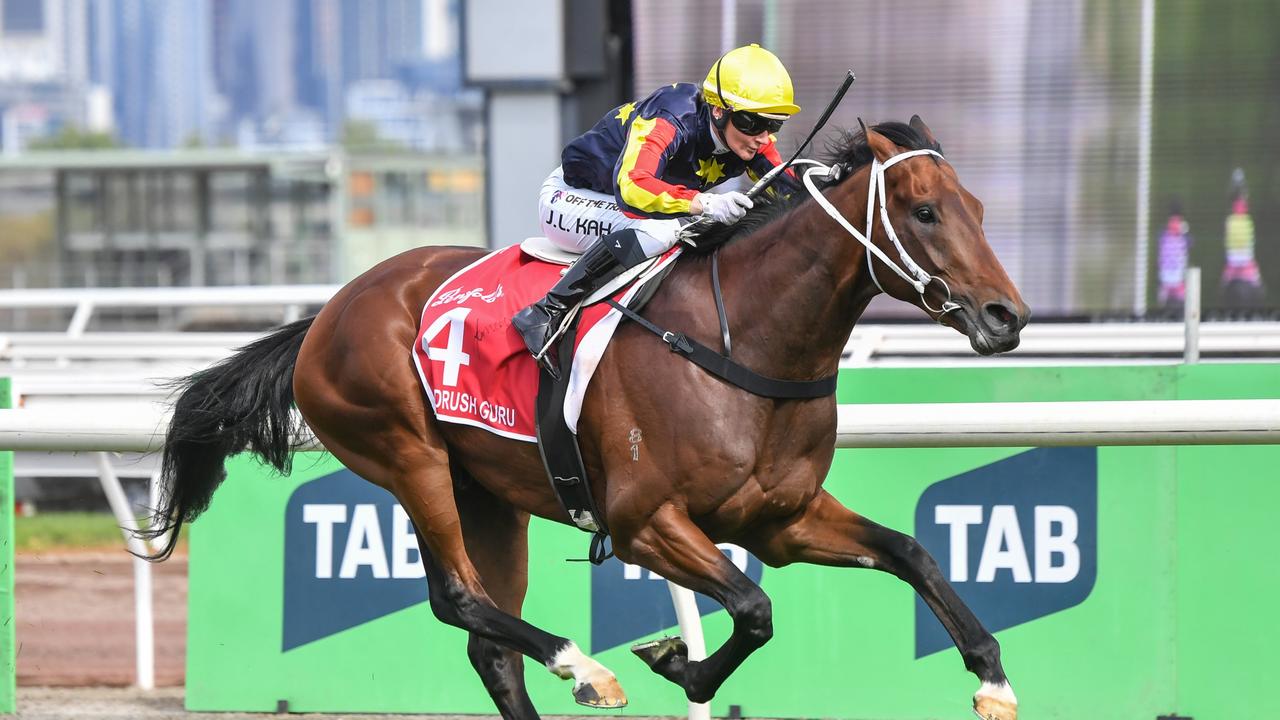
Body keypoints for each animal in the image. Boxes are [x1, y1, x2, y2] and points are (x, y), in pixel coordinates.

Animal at [147, 117, 1029, 717]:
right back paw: (585, 667)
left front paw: (992, 677)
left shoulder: (783, 519)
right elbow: (753, 610)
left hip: (488, 497)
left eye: (981, 208)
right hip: (408, 455)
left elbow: (911, 553)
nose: (1006, 316)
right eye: (923, 212)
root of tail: (329, 312)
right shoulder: (645, 521)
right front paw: (677, 664)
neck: (745, 341)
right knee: (458, 599)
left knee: (490, 642)